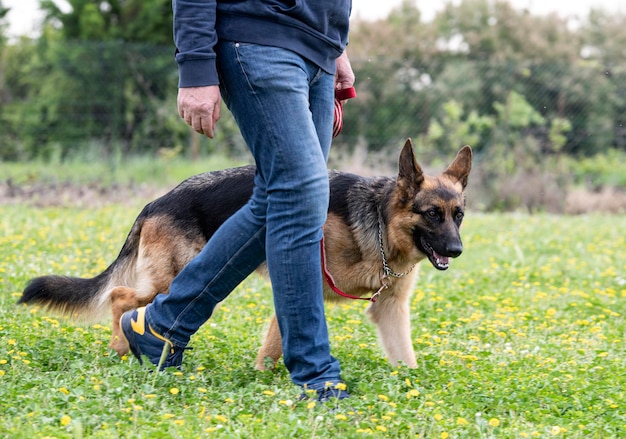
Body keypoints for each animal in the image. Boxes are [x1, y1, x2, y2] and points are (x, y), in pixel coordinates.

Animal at [18, 139, 468, 370]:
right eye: (432, 214)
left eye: (458, 215)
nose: (457, 250)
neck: (380, 222)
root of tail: (157, 201)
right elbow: (275, 344)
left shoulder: (390, 309)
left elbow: (405, 357)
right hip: (173, 277)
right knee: (120, 297)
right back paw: (120, 346)